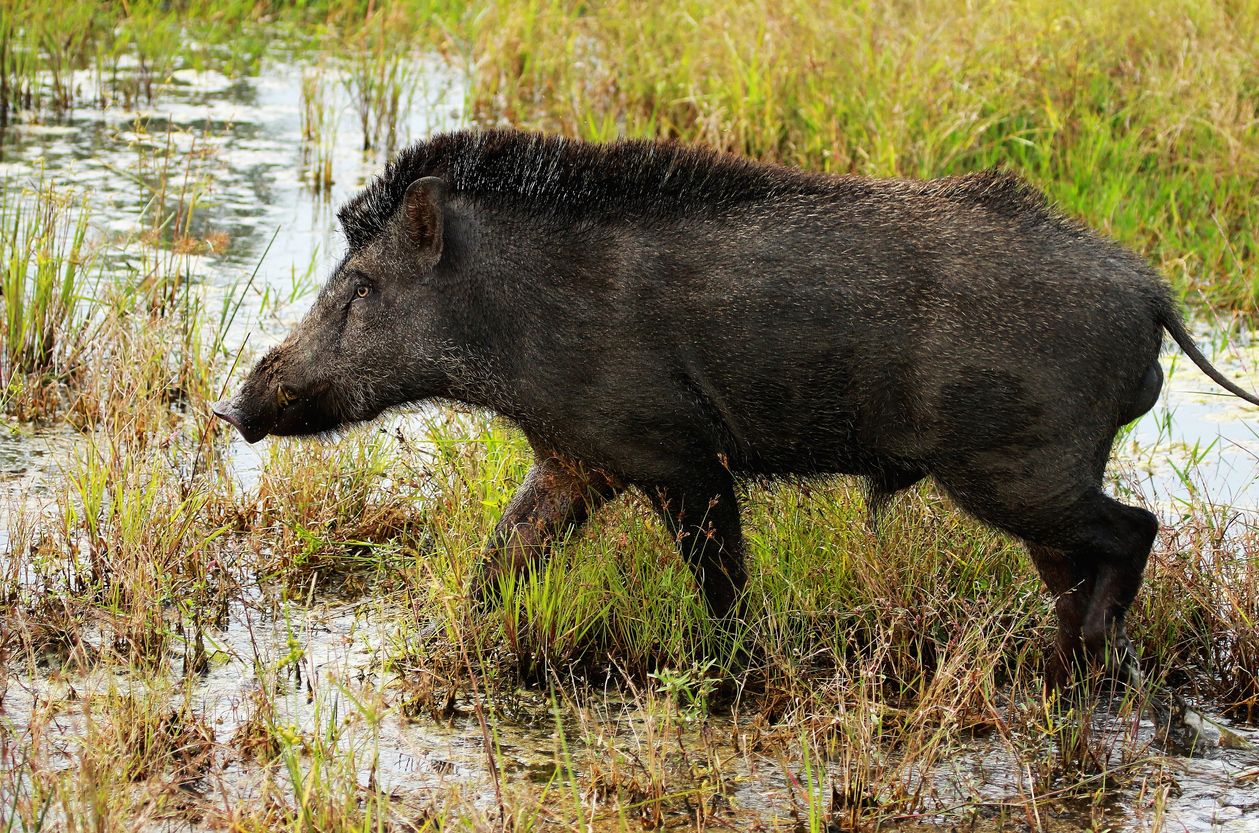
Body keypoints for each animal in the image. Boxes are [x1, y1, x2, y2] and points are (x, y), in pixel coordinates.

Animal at [212, 129, 1259, 689]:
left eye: (359, 286)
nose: (232, 408)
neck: (511, 322)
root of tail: (1151, 295)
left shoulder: (681, 460)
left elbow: (722, 584)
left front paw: (732, 668)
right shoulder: (574, 459)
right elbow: (497, 561)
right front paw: (444, 641)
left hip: (1017, 467)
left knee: (1135, 528)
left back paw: (1090, 657)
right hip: (1035, 476)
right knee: (1079, 566)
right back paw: (1069, 669)